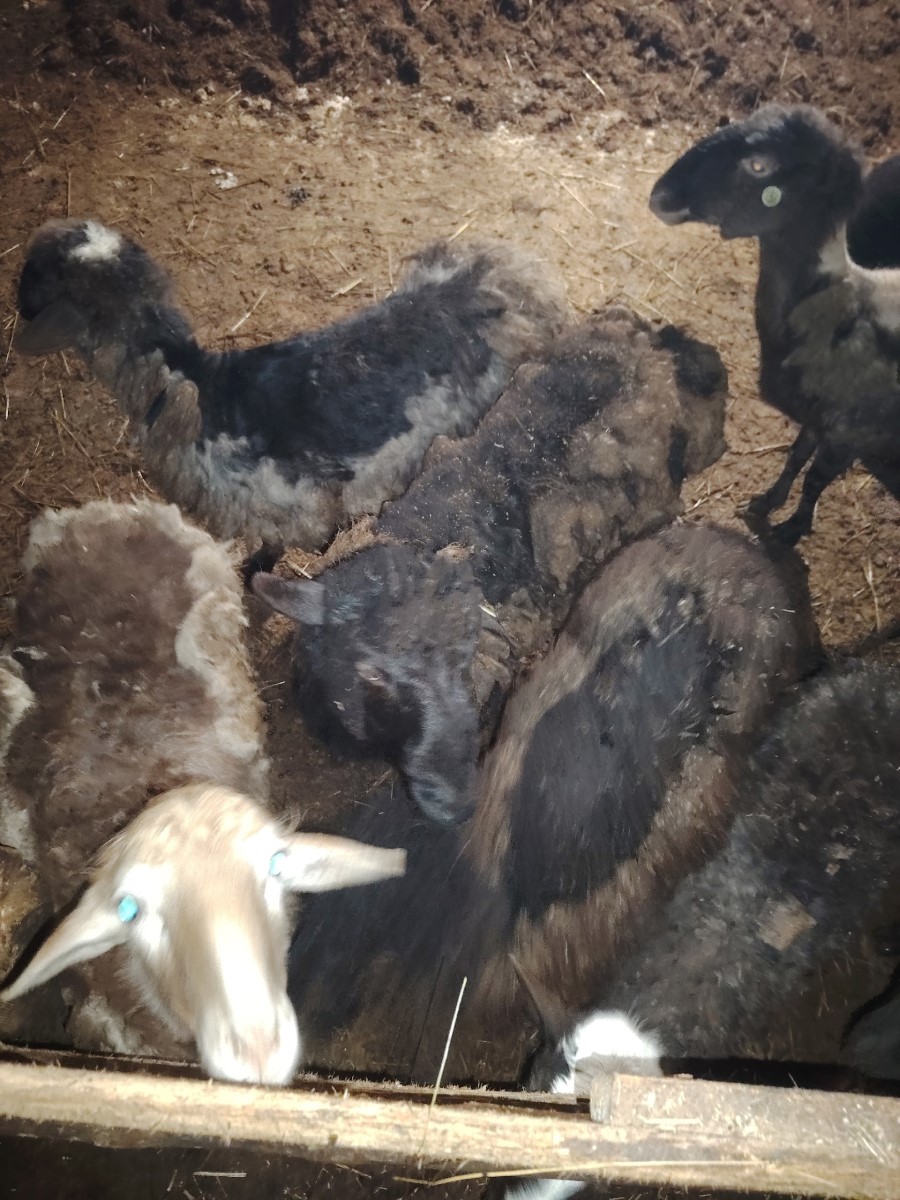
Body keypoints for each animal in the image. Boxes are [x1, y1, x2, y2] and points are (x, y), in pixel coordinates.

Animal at [15, 219, 566, 574]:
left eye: (37, 276)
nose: (18, 313)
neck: (197, 389)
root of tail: (498, 285)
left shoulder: (293, 510)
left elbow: (277, 554)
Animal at [649, 104, 900, 543]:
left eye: (759, 165)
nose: (659, 196)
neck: (837, 303)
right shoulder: (816, 419)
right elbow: (795, 457)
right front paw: (767, 502)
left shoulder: (851, 434)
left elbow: (815, 479)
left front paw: (792, 529)